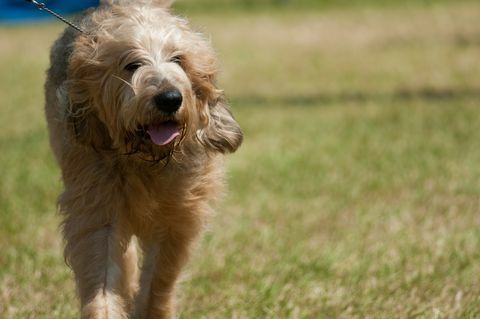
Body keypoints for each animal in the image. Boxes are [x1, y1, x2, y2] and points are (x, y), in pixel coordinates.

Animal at [44, 1, 244, 318]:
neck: (145, 157)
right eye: (132, 65)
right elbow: (102, 274)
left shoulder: (177, 216)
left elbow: (158, 277)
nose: (170, 99)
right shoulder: (97, 209)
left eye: (178, 59)